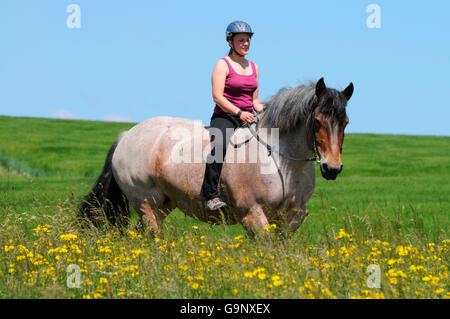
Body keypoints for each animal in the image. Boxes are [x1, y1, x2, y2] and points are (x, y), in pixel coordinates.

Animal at [80, 79, 356, 239]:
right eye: (317, 121)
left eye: (345, 122)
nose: (332, 168)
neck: (282, 162)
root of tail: (127, 136)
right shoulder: (252, 213)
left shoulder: (291, 217)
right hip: (147, 203)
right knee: (152, 236)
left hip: (164, 204)